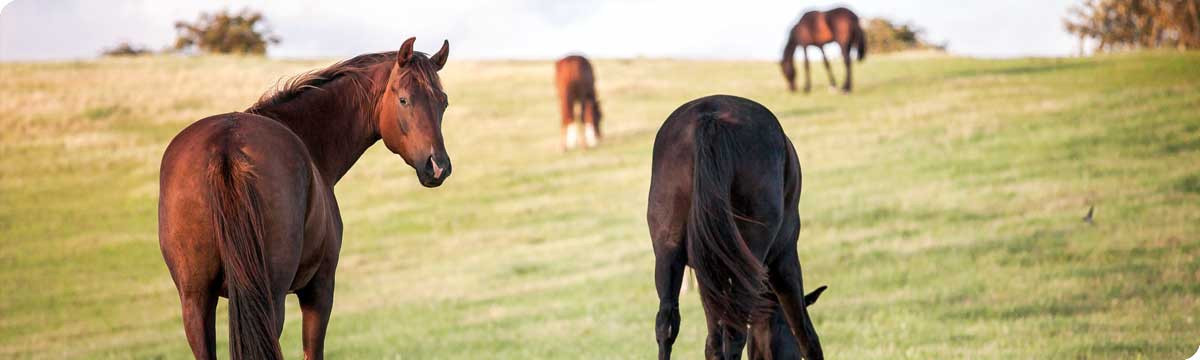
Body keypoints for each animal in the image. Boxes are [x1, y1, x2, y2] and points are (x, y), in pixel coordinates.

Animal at [159, 37, 453, 357]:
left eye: (443, 102)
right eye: (403, 100)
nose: (438, 166)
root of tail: (226, 145)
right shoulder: (319, 289)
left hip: (196, 300)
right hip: (269, 298)